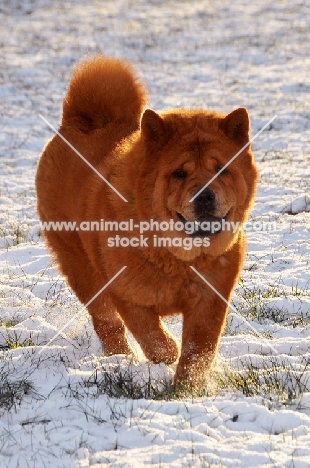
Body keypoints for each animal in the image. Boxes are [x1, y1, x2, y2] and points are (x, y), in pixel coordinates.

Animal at [36, 55, 258, 384]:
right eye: (179, 173)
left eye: (221, 169)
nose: (204, 195)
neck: (177, 258)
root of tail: (79, 122)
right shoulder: (126, 293)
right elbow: (151, 335)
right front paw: (167, 355)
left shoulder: (210, 299)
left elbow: (199, 347)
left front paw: (187, 384)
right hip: (81, 268)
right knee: (106, 321)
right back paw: (119, 358)